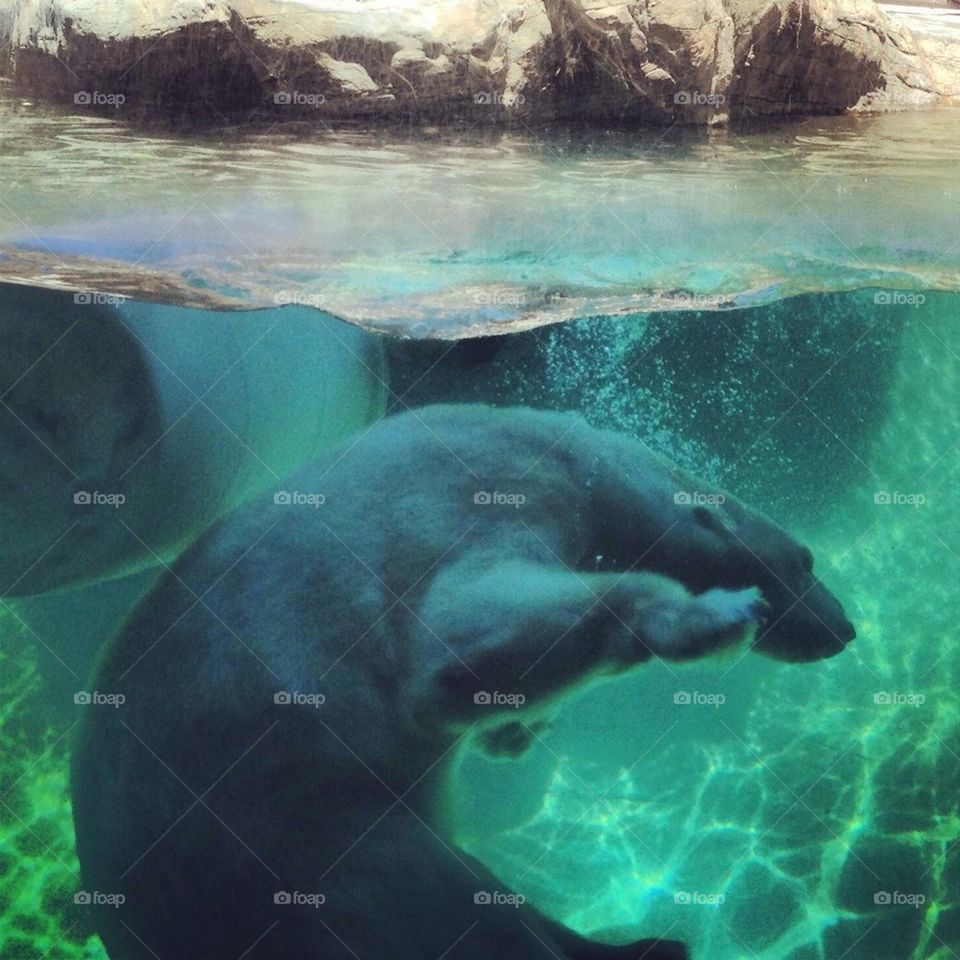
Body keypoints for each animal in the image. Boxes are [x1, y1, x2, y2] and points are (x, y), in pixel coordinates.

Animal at [71, 404, 855, 960]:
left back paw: (645, 944)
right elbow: (454, 644)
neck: (577, 457)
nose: (844, 631)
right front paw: (716, 614)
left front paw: (516, 731)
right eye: (807, 559)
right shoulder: (477, 495)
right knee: (437, 904)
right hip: (282, 843)